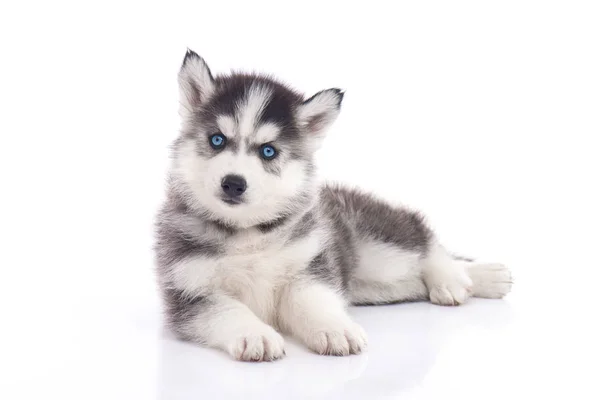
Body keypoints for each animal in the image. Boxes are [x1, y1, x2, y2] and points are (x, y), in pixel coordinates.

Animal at [154, 48, 510, 360]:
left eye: (268, 151)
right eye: (217, 139)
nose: (233, 183)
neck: (249, 232)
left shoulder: (311, 267)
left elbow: (313, 301)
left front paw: (336, 329)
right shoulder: (189, 293)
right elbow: (229, 310)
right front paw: (256, 334)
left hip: (380, 251)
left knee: (419, 231)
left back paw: (458, 277)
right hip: (379, 284)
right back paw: (484, 278)